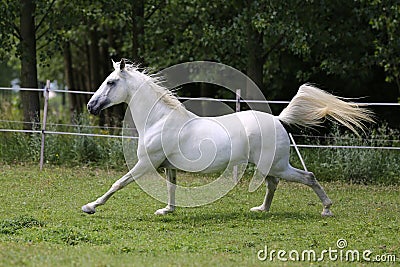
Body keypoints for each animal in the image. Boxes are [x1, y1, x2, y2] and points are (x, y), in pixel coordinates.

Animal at [80, 59, 372, 218]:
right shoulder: (168, 167)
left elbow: (117, 183)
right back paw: (261, 210)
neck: (159, 120)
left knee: (307, 177)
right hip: (269, 166)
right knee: (273, 184)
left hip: (278, 165)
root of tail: (278, 120)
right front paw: (167, 210)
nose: (91, 107)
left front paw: (90, 206)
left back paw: (327, 209)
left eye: (110, 82)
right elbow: (171, 189)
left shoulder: (145, 164)